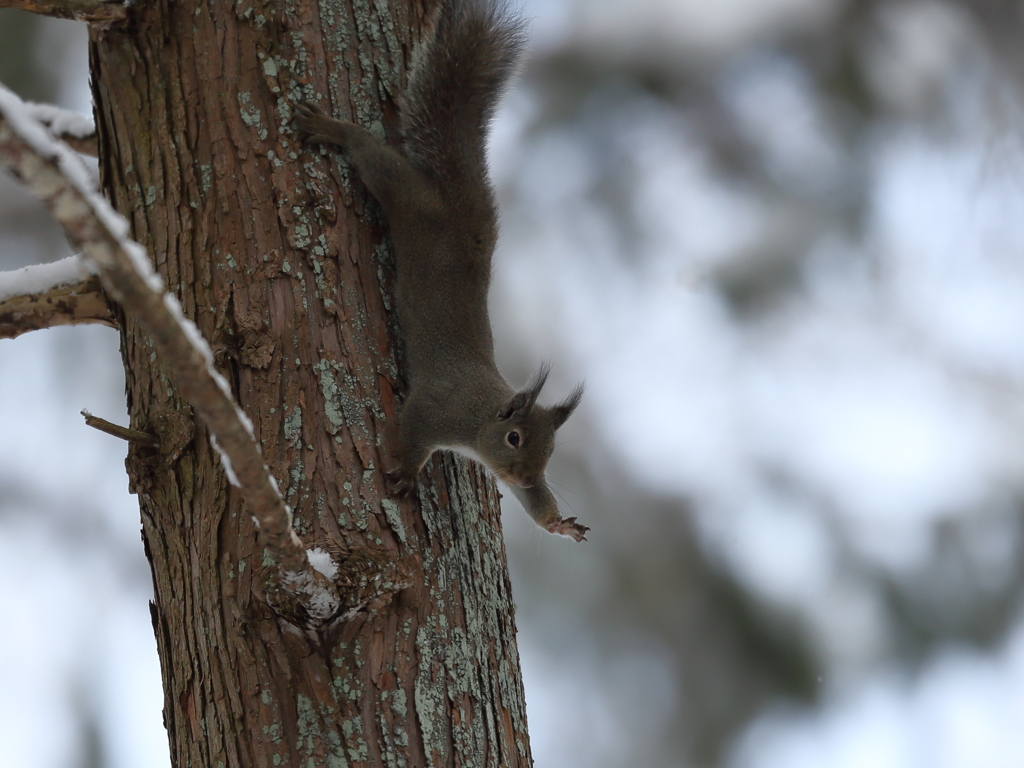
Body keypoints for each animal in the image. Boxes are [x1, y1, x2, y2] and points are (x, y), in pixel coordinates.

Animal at [296, 0, 589, 544]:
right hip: (408, 199)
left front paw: (557, 522)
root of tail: (460, 208)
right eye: (515, 437)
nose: (527, 476)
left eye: (551, 450)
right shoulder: (435, 410)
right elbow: (412, 432)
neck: (480, 417)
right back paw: (331, 129)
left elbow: (533, 506)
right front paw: (409, 474)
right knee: (374, 158)